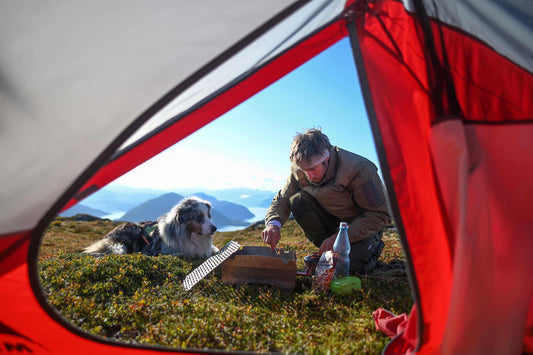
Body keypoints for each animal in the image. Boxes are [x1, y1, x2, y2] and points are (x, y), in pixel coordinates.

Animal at [83, 197, 218, 258]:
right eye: (199, 218)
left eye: (208, 216)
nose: (215, 228)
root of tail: (109, 236)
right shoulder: (161, 251)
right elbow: (185, 253)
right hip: (133, 229)